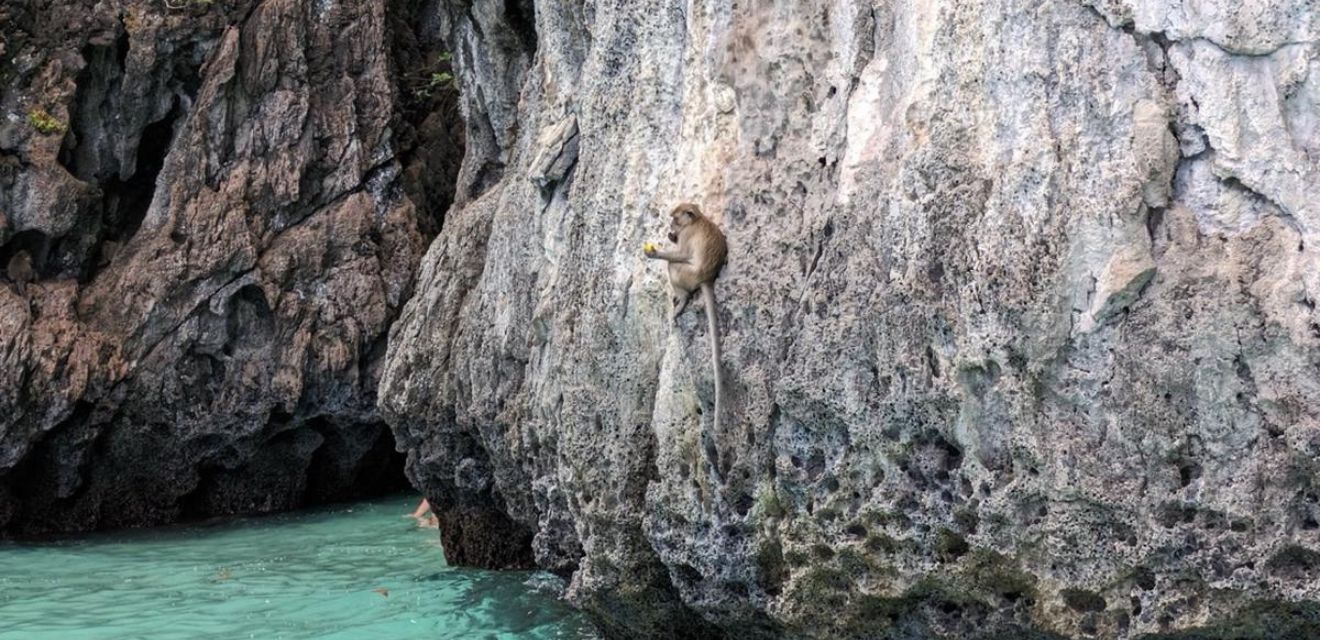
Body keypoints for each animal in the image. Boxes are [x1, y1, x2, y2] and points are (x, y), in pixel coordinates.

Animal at [641, 203, 728, 432]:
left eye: (675, 218)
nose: (671, 227)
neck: (697, 220)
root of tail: (707, 278)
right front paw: (670, 237)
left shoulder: (688, 235)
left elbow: (681, 254)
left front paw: (656, 253)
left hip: (688, 275)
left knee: (674, 266)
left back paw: (682, 300)